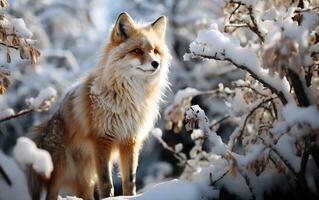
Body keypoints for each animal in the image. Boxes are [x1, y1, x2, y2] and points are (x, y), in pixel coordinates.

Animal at [27, 12, 171, 200]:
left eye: (155, 51)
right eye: (137, 51)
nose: (156, 63)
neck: (128, 98)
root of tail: (46, 127)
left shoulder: (129, 140)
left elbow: (129, 181)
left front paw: (130, 196)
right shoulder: (102, 139)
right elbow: (107, 183)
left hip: (86, 179)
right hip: (60, 173)